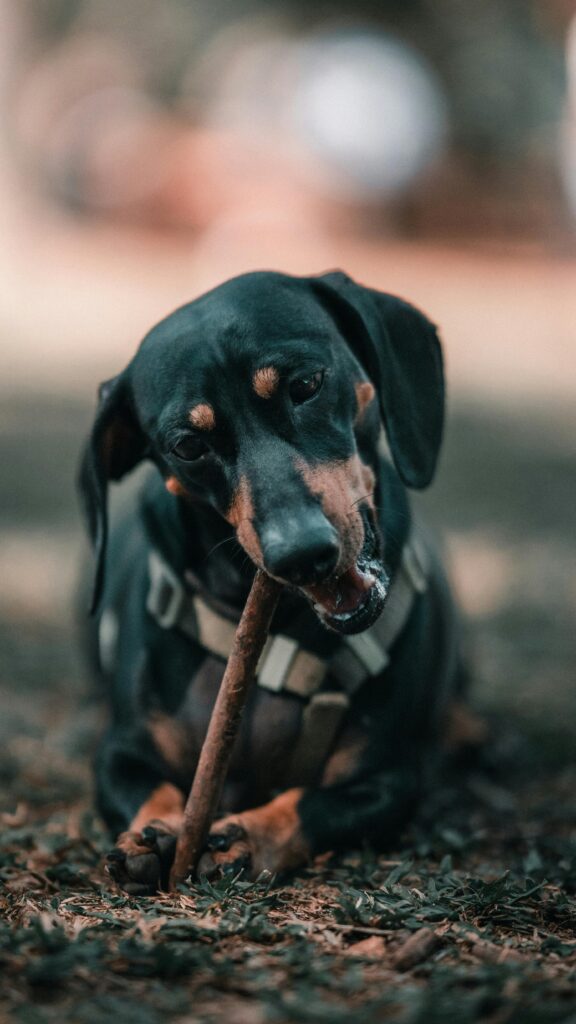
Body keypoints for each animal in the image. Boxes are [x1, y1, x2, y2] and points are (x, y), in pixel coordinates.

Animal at [78, 268, 461, 892]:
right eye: (188, 446)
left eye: (305, 384)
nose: (300, 554)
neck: (282, 637)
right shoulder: (118, 752)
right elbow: (147, 786)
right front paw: (153, 832)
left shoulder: (390, 777)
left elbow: (311, 803)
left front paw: (249, 834)